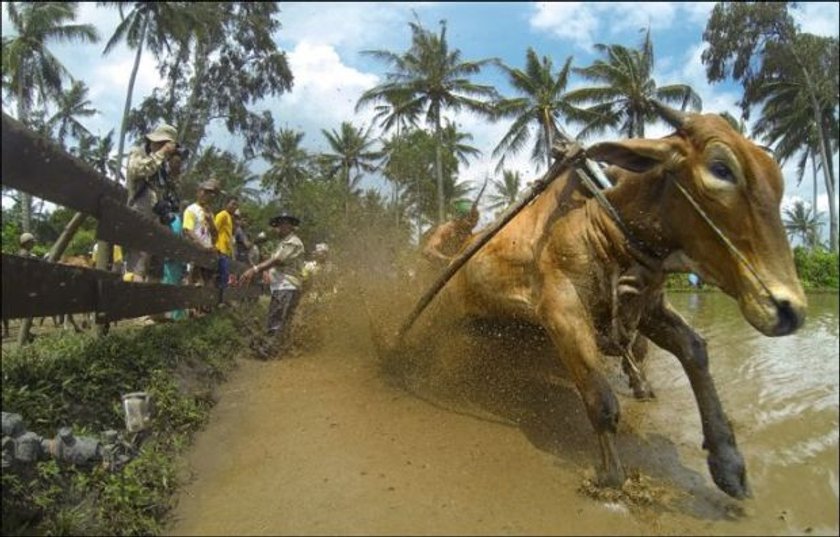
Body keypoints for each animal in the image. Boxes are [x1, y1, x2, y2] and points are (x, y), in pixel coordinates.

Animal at [420, 109, 808, 498]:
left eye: (778, 182)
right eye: (721, 169)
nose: (791, 310)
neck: (602, 226)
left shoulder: (649, 309)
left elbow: (694, 350)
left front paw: (728, 463)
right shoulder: (560, 309)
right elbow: (602, 401)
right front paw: (611, 479)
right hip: (443, 311)